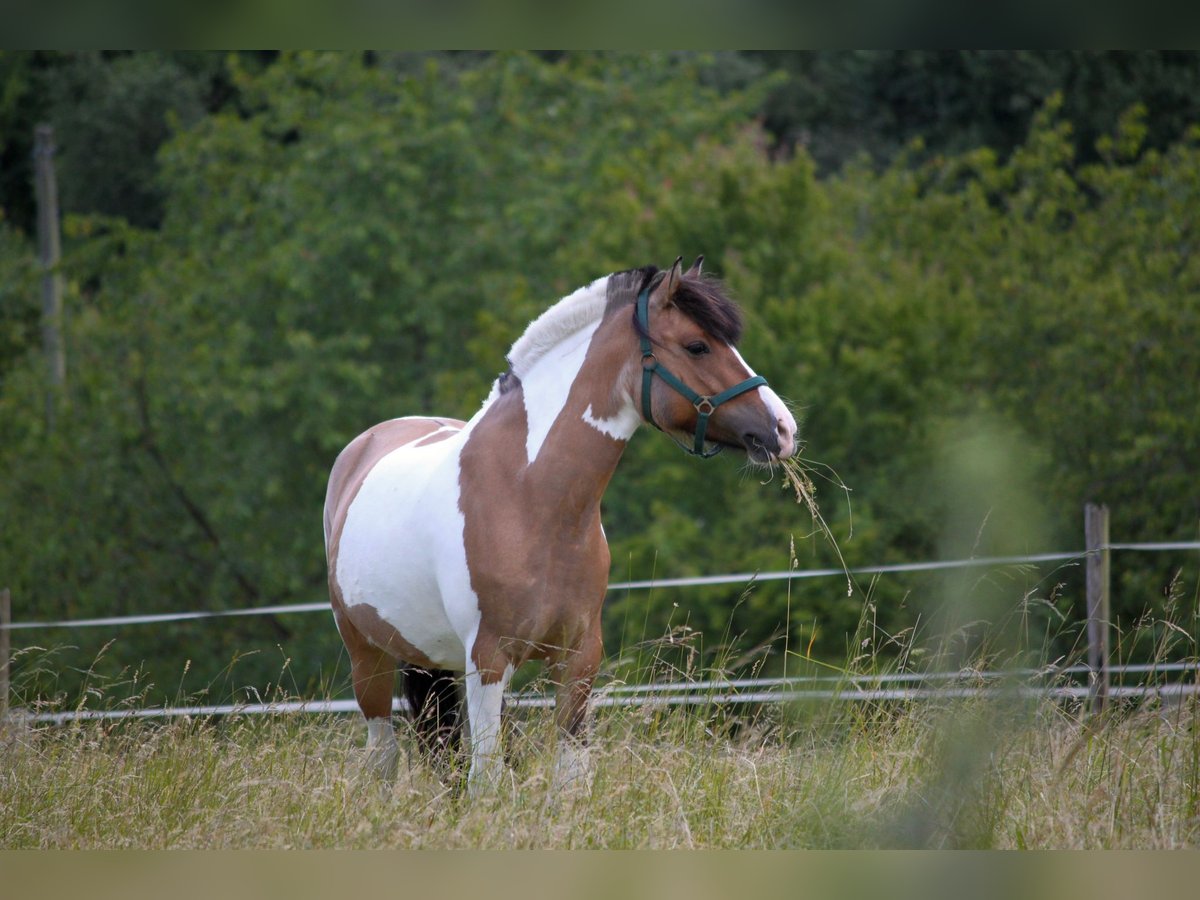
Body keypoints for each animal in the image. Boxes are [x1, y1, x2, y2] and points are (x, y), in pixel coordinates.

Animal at [324, 256, 801, 792]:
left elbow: (571, 775)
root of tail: (364, 448)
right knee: (383, 759)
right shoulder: (487, 660)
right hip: (367, 657)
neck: (530, 497)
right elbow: (486, 778)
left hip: (432, 658)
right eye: (698, 345)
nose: (783, 429)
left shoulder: (578, 658)